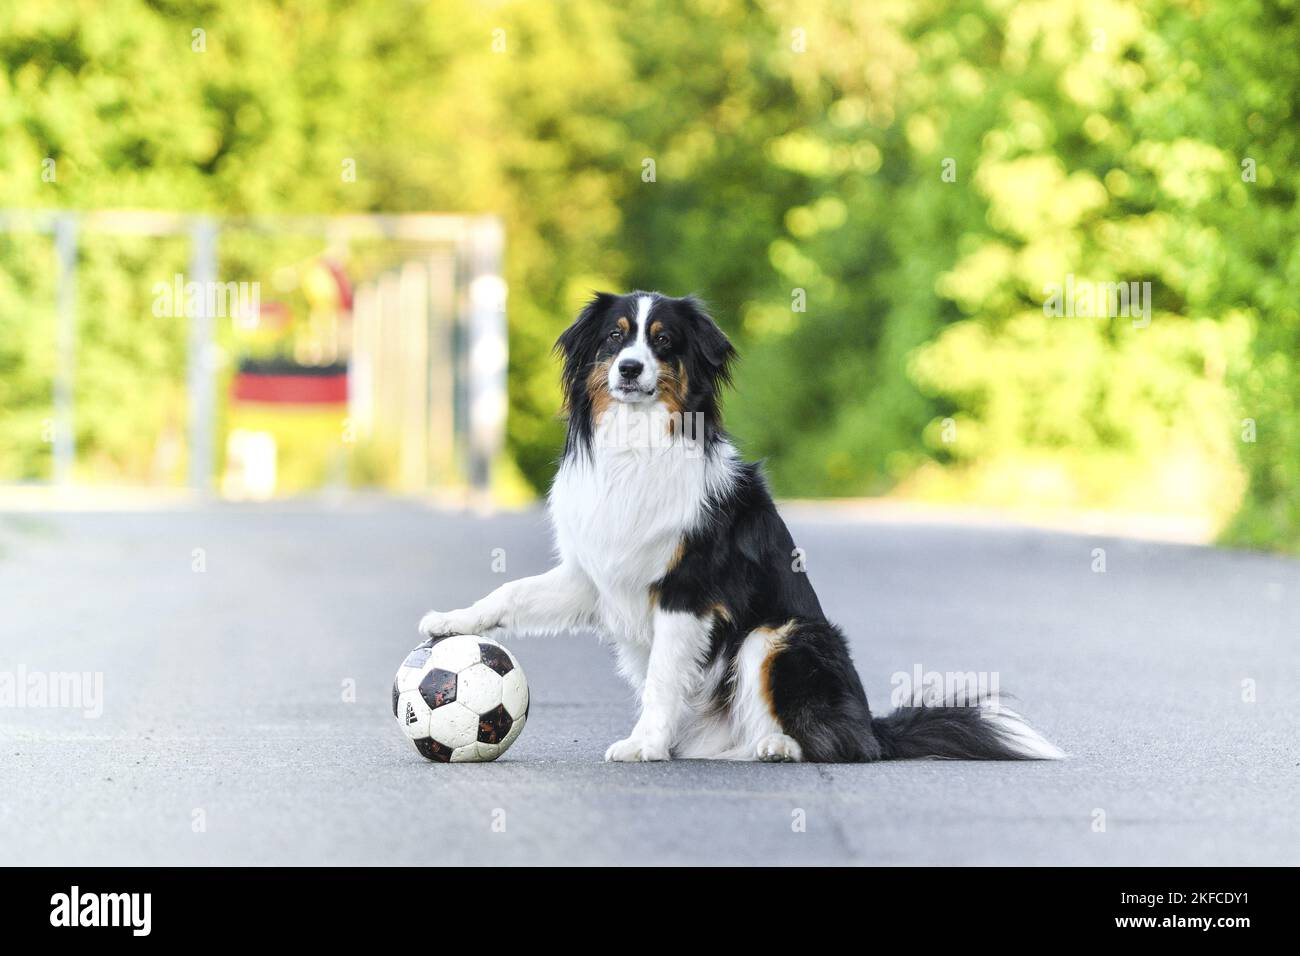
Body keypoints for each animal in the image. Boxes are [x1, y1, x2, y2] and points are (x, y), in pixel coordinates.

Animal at [421, 291, 1060, 764]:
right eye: (614, 337)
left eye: (663, 341)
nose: (630, 368)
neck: (637, 443)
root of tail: (876, 726)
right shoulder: (592, 575)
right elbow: (510, 593)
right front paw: (449, 621)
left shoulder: (689, 591)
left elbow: (662, 675)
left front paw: (643, 745)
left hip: (778, 635)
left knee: (834, 742)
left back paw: (777, 745)